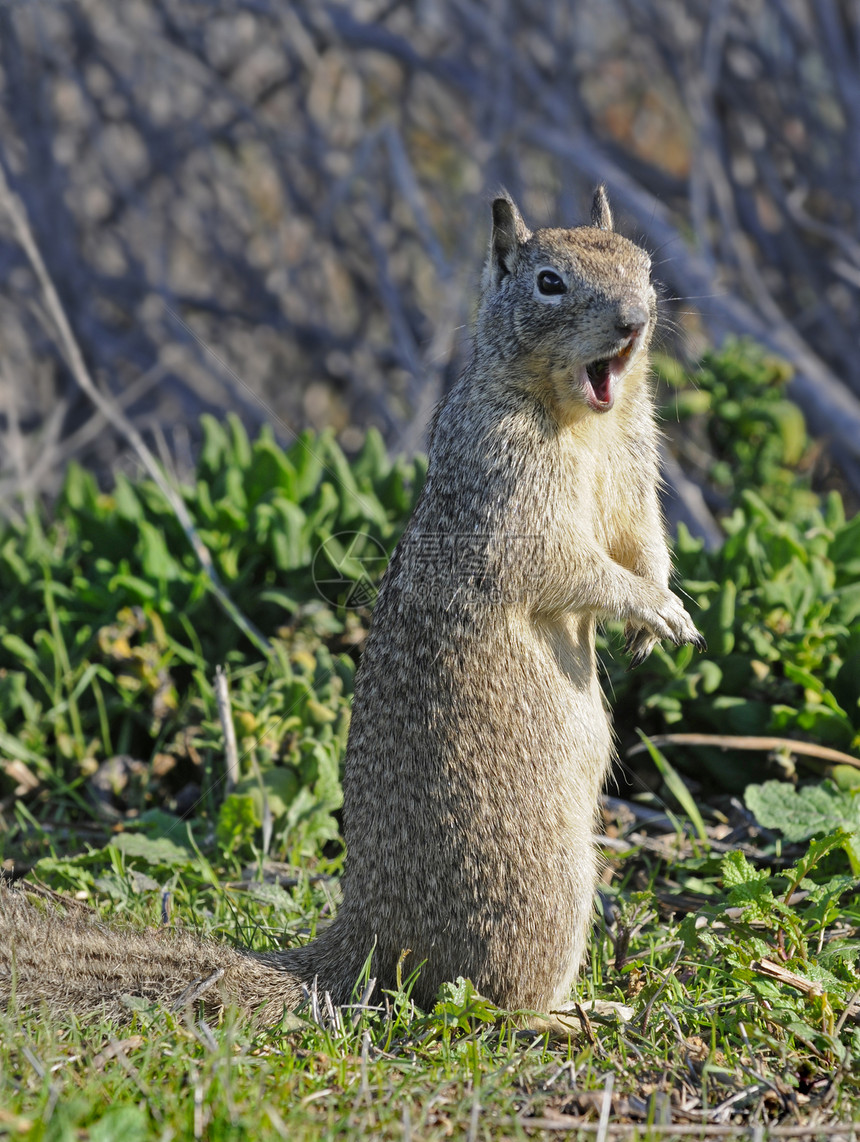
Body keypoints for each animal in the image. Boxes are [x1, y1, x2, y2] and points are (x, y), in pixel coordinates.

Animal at [0, 187, 703, 1027]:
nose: (635, 319)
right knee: (487, 999)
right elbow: (569, 566)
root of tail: (368, 942)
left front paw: (663, 617)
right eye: (549, 282)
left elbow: (646, 543)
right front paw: (652, 610)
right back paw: (579, 1015)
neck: (585, 419)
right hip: (550, 892)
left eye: (643, 266)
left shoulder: (635, 475)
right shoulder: (510, 501)